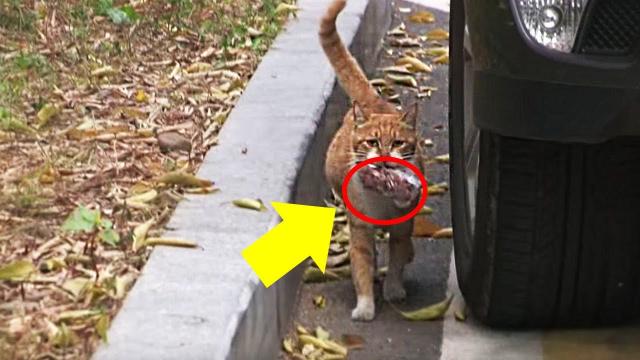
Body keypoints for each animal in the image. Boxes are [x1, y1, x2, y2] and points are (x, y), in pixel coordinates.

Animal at [318, 0, 420, 320]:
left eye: (398, 143)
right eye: (372, 142)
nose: (385, 156)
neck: (382, 201)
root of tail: (374, 104)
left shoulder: (402, 226)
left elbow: (397, 258)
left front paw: (394, 289)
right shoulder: (360, 229)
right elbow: (362, 266)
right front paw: (365, 306)